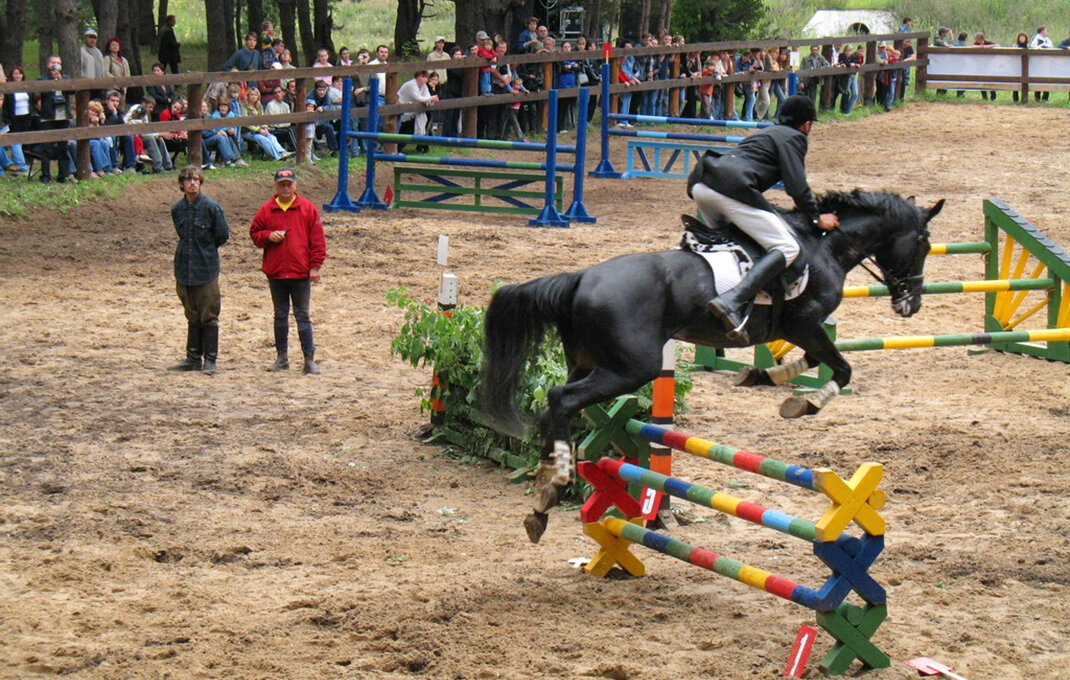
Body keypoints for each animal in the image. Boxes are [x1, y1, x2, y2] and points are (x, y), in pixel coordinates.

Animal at [483, 191, 945, 541]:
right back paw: (557, 482)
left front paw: (763, 375)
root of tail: (580, 278)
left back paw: (544, 494)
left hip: (584, 362)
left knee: (551, 407)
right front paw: (803, 404)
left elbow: (815, 359)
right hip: (630, 370)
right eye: (923, 243)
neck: (824, 246)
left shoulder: (802, 329)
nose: (911, 304)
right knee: (561, 399)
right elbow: (841, 368)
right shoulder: (804, 322)